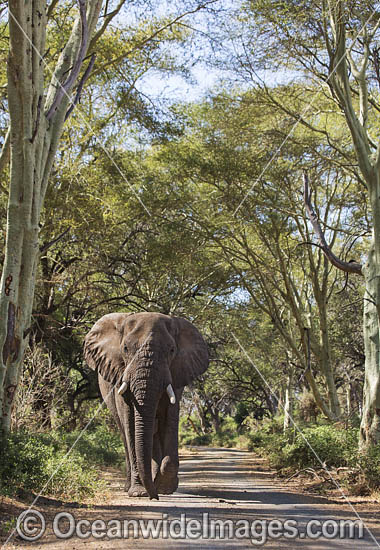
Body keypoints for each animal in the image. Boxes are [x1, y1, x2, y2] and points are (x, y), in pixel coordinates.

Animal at [83, 314, 209, 500]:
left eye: (172, 350)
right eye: (125, 348)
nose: (154, 497)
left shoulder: (176, 374)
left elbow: (170, 418)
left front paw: (164, 488)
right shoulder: (120, 374)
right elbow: (131, 423)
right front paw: (139, 492)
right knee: (125, 434)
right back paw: (129, 487)